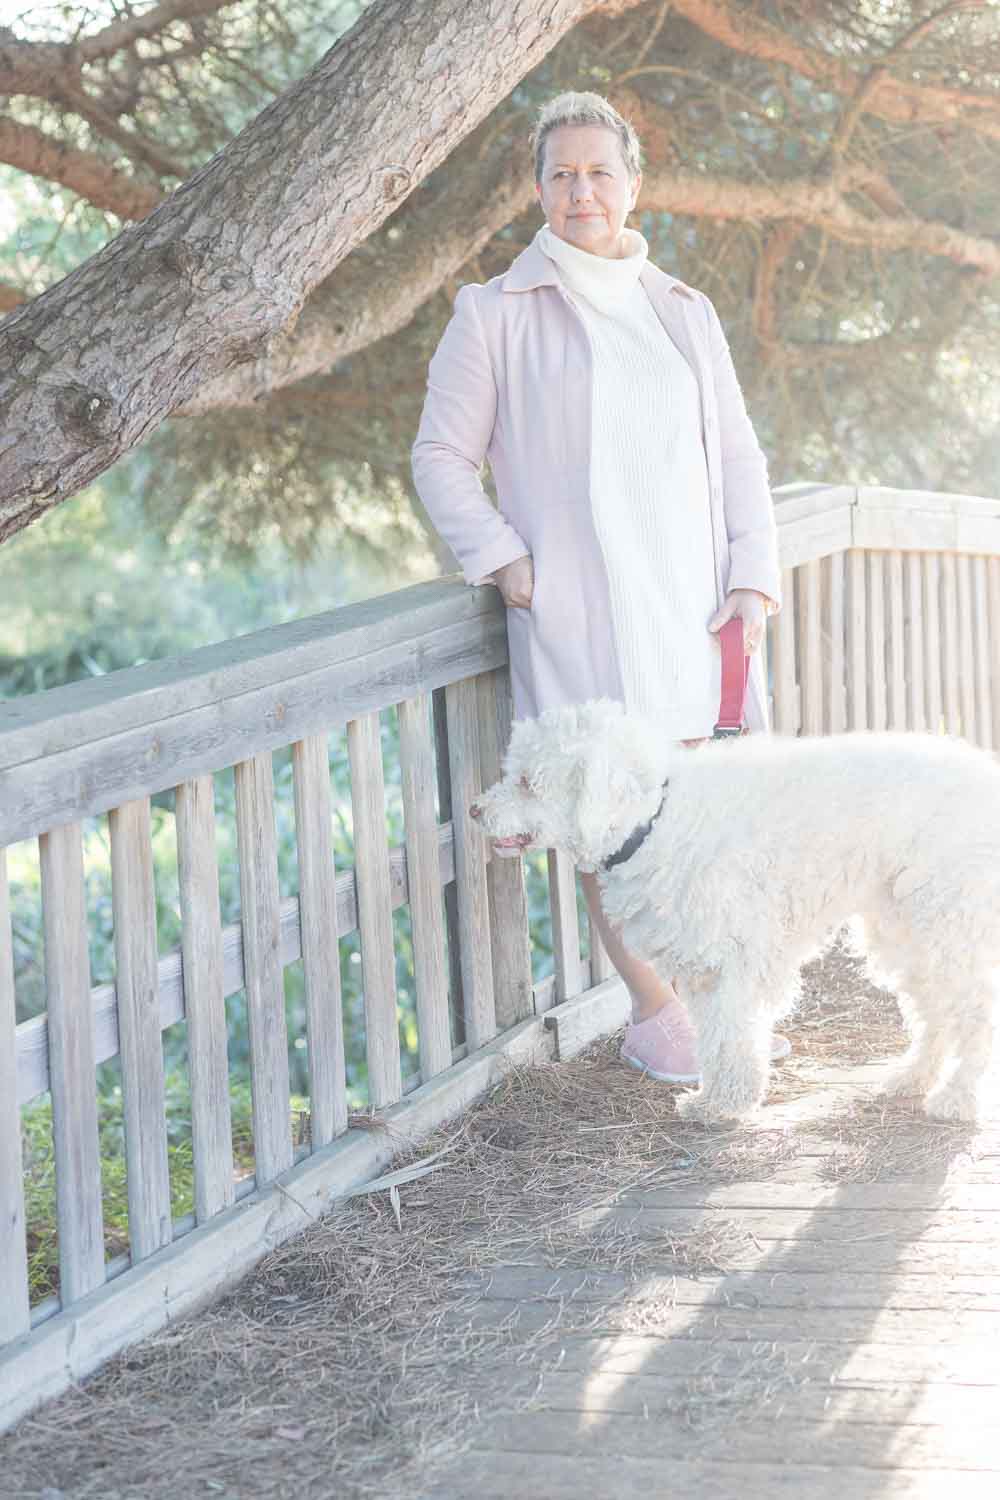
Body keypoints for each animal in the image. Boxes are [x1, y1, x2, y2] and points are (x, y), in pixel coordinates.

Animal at [470, 702, 1000, 1128]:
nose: (475, 810)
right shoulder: (706, 969)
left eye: (527, 782)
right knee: (935, 1008)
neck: (658, 818)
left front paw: (728, 1105)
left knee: (975, 1011)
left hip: (948, 919)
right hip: (906, 928)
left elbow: (732, 1034)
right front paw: (715, 1099)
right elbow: (714, 1038)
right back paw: (915, 1076)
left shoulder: (733, 959)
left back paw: (957, 1097)